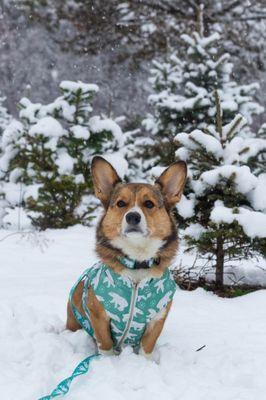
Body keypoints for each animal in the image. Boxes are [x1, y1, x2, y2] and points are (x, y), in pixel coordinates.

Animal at [66, 156, 187, 360]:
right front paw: (106, 363)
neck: (137, 263)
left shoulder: (157, 319)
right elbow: (105, 344)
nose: (132, 217)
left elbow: (147, 348)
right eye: (121, 204)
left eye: (149, 204)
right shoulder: (99, 316)